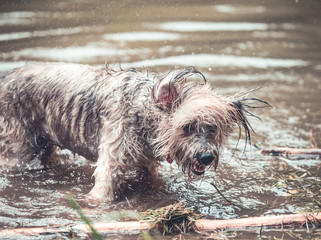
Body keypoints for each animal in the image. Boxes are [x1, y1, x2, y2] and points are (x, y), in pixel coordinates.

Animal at [0, 63, 266, 201]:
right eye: (187, 127)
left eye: (212, 129)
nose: (206, 157)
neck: (144, 112)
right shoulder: (110, 161)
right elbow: (102, 191)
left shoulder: (146, 162)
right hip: (18, 150)